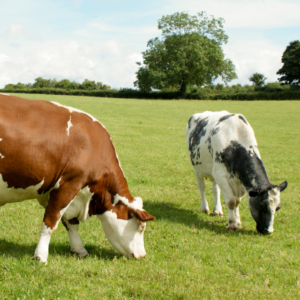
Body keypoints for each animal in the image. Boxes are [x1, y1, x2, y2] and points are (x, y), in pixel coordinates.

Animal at [0, 94, 156, 262]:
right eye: (141, 227)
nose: (143, 255)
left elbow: (71, 223)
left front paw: (79, 249)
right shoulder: (69, 184)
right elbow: (51, 222)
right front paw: (40, 256)